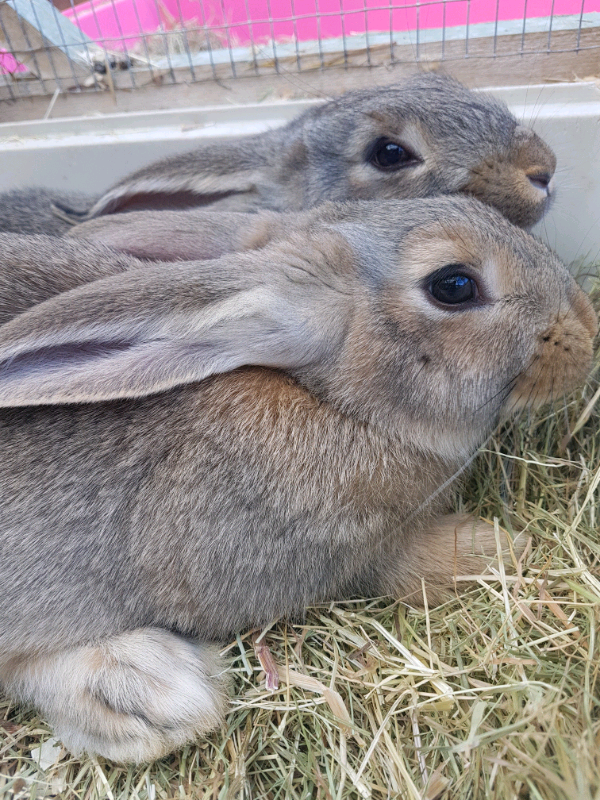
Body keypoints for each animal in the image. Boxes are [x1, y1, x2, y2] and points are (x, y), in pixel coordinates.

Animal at [0, 196, 595, 764]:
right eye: (454, 285)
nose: (587, 327)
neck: (335, 404)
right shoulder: (340, 557)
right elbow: (405, 566)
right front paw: (501, 548)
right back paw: (154, 692)